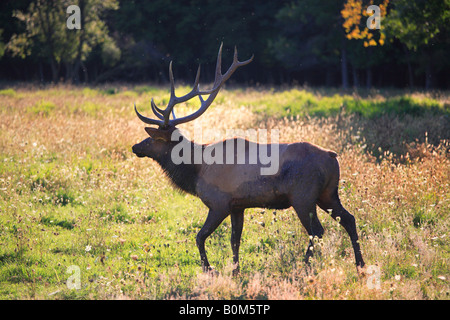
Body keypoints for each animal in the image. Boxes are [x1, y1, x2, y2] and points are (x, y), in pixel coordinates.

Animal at [131, 43, 366, 274]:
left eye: (152, 138)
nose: (135, 146)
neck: (196, 170)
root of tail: (332, 156)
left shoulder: (219, 203)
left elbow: (200, 237)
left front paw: (209, 268)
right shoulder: (238, 205)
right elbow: (235, 240)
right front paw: (235, 271)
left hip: (303, 196)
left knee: (317, 230)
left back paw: (305, 266)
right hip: (328, 193)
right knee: (349, 219)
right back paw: (360, 264)